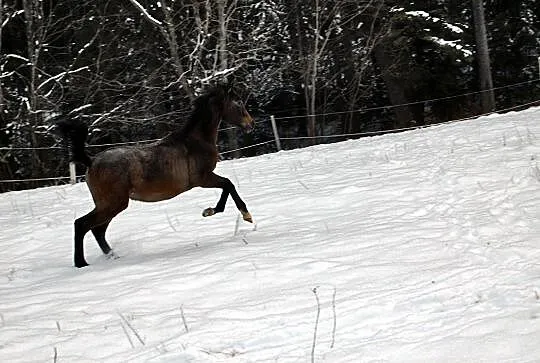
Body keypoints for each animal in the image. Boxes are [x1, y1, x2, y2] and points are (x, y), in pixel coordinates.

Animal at [58, 84, 256, 268]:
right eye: (238, 102)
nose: (251, 124)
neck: (196, 141)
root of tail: (91, 162)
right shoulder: (203, 178)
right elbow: (228, 184)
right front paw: (241, 215)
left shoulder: (205, 178)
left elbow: (227, 186)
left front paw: (212, 211)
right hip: (113, 204)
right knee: (82, 224)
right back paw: (81, 263)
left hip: (109, 205)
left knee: (97, 230)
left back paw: (113, 257)